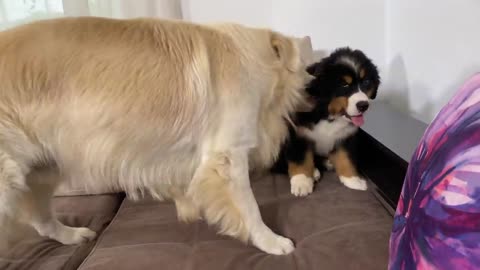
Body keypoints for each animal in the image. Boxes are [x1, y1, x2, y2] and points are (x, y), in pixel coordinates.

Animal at [0, 17, 314, 255]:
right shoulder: (228, 156)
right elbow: (249, 206)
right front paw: (271, 241)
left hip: (43, 169)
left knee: (40, 218)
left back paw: (71, 235)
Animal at [274, 47, 378, 196]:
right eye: (344, 85)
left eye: (366, 83)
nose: (363, 105)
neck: (328, 114)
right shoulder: (297, 135)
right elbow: (299, 159)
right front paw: (302, 182)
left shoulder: (345, 136)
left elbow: (346, 158)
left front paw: (353, 179)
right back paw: (314, 172)